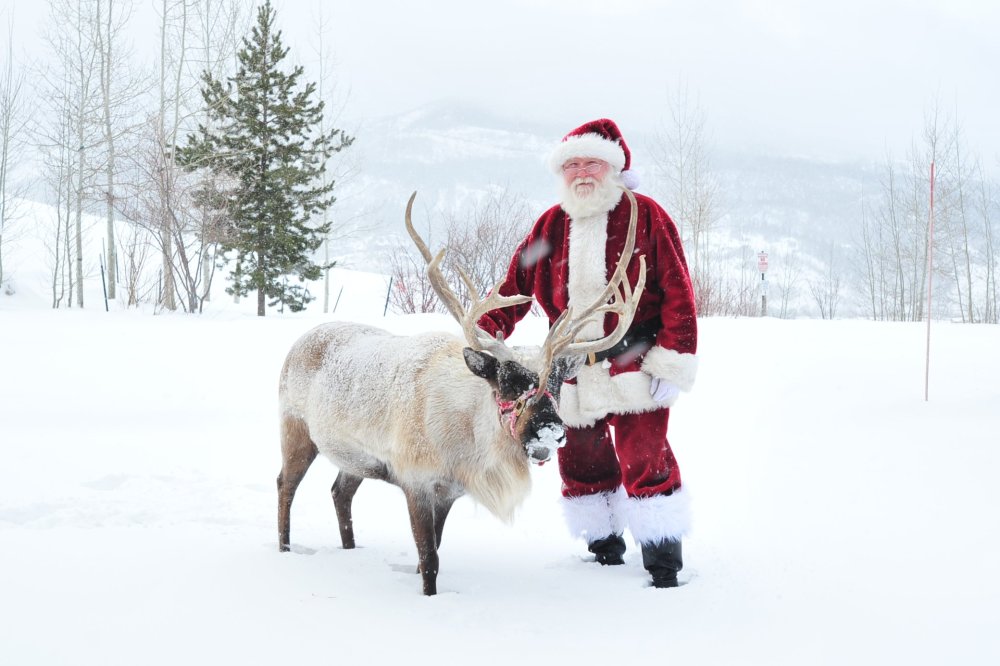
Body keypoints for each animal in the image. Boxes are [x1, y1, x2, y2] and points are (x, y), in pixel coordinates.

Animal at [277, 188, 646, 595]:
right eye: (508, 379)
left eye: (556, 383)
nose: (549, 429)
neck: (467, 444)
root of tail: (300, 341)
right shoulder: (416, 480)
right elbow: (429, 557)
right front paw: (429, 596)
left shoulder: (450, 490)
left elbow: (435, 548)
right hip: (295, 428)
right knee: (285, 485)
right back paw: (284, 548)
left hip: (353, 456)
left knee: (340, 492)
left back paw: (349, 548)